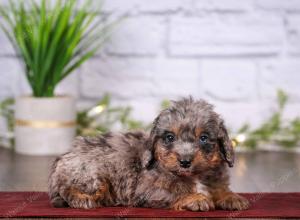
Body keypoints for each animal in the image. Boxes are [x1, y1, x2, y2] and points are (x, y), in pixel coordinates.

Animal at [49, 98, 250, 211]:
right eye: (169, 137)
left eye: (204, 138)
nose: (185, 161)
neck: (193, 176)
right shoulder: (146, 190)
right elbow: (174, 193)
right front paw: (195, 198)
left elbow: (220, 189)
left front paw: (231, 197)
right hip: (93, 176)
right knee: (68, 190)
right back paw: (83, 199)